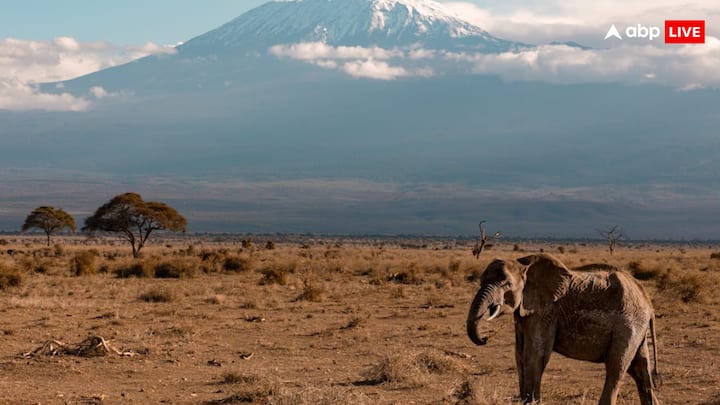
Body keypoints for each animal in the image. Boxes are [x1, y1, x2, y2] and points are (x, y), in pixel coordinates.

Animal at [466, 254, 660, 402]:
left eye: (507, 284)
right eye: (481, 280)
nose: (485, 338)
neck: (524, 265)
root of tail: (648, 302)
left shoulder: (546, 311)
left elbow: (535, 354)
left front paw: (531, 402)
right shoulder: (525, 313)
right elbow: (519, 354)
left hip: (628, 326)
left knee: (616, 368)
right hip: (637, 328)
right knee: (641, 372)